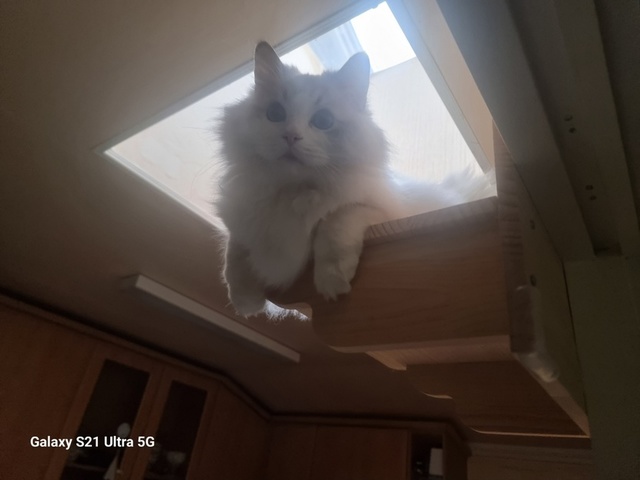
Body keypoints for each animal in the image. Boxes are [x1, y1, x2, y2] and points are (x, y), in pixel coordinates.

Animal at [215, 41, 493, 317]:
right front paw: (244, 301)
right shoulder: (244, 221)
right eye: (275, 113)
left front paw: (332, 282)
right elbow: (233, 253)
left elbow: (336, 222)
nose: (290, 136)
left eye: (323, 120)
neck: (295, 194)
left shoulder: (380, 212)